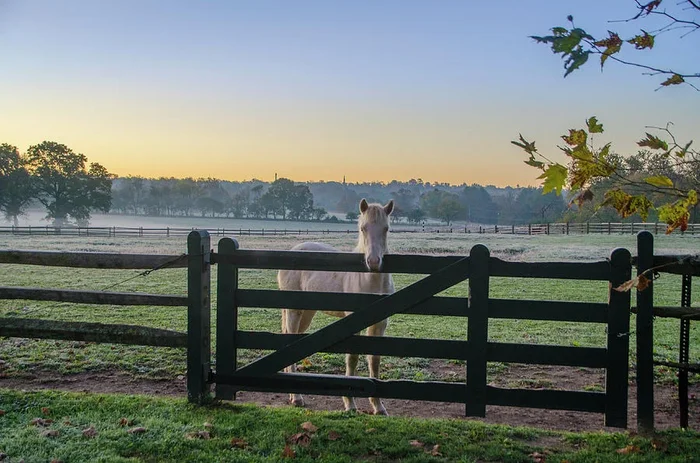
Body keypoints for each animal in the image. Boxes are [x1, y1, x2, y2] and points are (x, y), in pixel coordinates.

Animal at [277, 198, 395, 415]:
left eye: (386, 229)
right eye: (363, 228)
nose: (373, 262)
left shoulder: (380, 323)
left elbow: (374, 359)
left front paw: (379, 407)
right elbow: (352, 358)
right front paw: (350, 404)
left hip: (307, 313)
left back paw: (291, 394)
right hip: (294, 311)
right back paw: (297, 397)